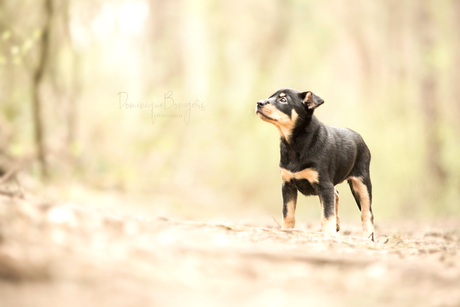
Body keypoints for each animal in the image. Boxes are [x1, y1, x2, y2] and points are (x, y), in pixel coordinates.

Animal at [255, 88, 374, 241]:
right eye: (270, 96)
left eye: (283, 100)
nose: (259, 103)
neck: (295, 144)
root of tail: (359, 137)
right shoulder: (287, 185)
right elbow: (288, 214)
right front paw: (286, 231)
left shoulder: (324, 184)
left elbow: (326, 215)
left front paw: (329, 235)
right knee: (336, 194)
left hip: (362, 182)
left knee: (367, 212)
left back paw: (369, 237)